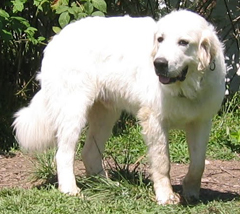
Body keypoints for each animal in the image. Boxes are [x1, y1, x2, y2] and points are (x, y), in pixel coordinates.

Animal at [12, 9, 225, 204]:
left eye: (183, 42)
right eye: (160, 39)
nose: (159, 63)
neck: (187, 86)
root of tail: (57, 37)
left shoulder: (201, 122)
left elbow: (198, 163)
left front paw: (191, 192)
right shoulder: (154, 121)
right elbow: (163, 162)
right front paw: (166, 196)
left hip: (106, 116)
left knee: (89, 153)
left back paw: (104, 184)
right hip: (74, 111)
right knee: (63, 154)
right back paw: (70, 189)